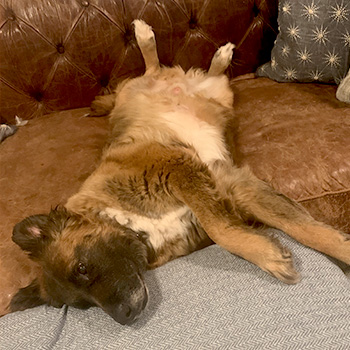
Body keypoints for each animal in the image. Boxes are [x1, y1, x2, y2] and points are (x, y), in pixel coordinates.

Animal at [9, 19, 348, 326]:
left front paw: (272, 255)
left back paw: (149, 36)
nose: (125, 318)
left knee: (153, 66)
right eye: (82, 305)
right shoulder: (231, 190)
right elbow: (288, 227)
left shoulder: (183, 172)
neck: (128, 222)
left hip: (183, 94)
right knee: (189, 72)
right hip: (220, 97)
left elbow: (229, 231)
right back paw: (216, 56)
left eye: (82, 268)